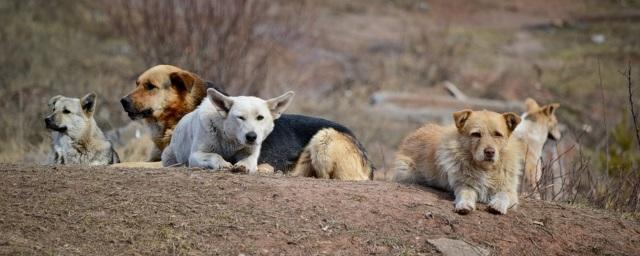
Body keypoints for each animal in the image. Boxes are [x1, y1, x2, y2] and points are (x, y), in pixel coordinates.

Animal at [164, 88, 296, 174]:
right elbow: (215, 155)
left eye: (260, 117)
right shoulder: (195, 155)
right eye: (241, 117)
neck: (229, 140)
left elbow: (249, 160)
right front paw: (223, 164)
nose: (251, 136)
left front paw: (243, 165)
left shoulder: (251, 154)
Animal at [392, 109, 524, 214]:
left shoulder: (510, 191)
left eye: (498, 134)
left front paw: (498, 205)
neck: (485, 169)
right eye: (476, 134)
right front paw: (464, 205)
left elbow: (504, 195)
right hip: (405, 172)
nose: (489, 152)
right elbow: (465, 194)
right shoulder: (463, 184)